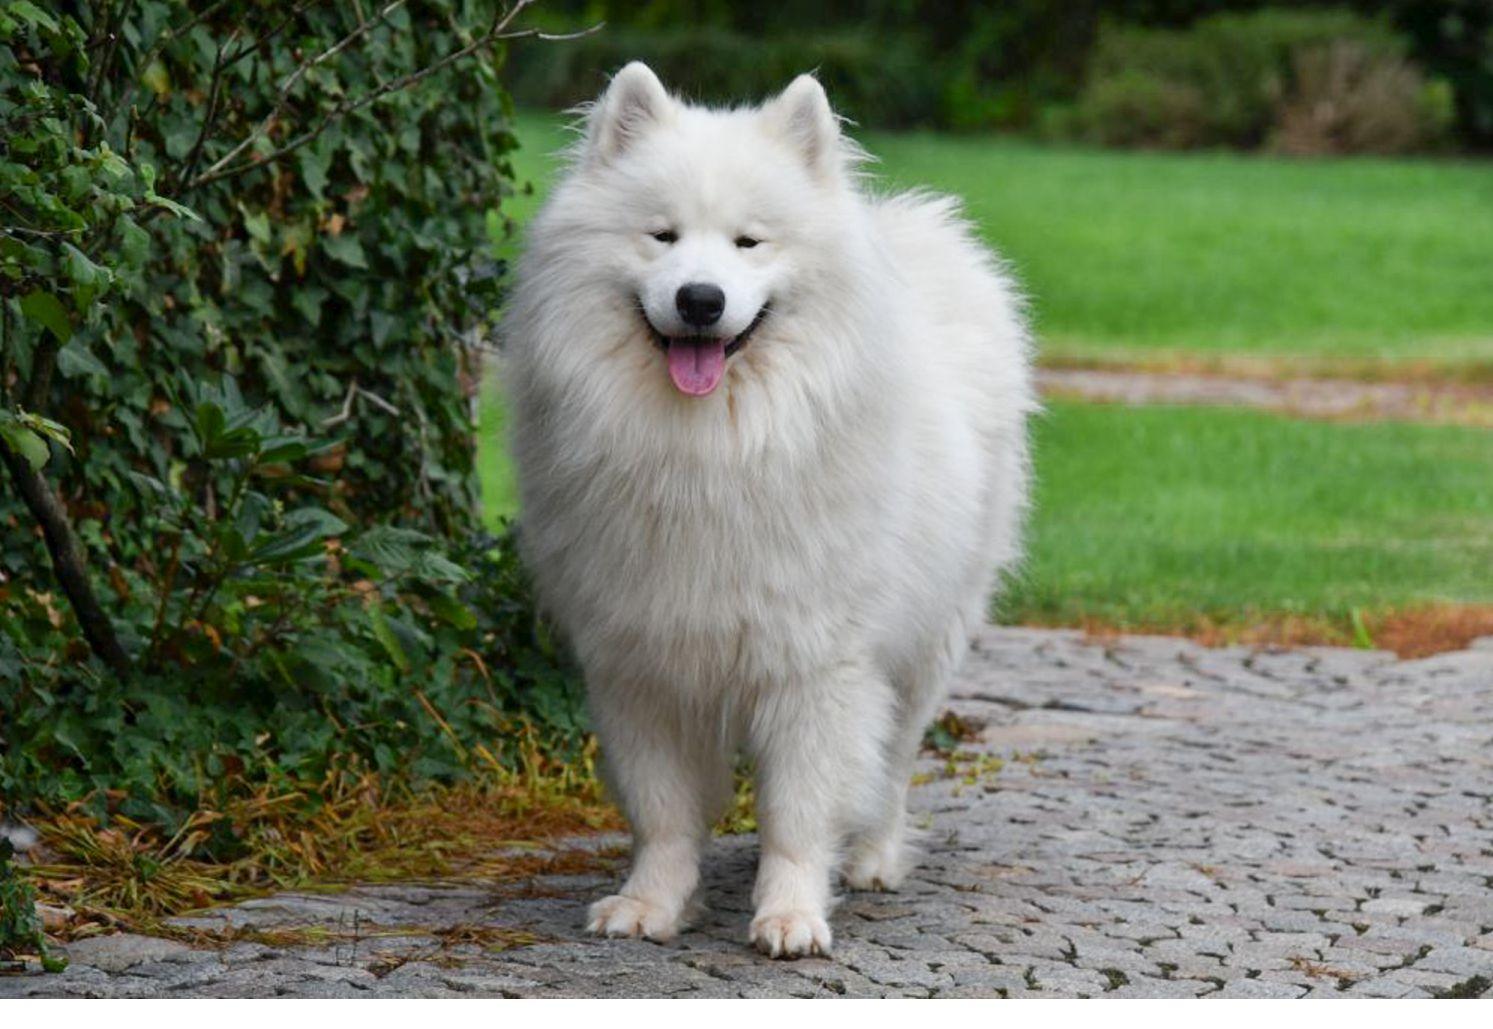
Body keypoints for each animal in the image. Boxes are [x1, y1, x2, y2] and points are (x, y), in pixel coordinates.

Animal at [507, 64, 1033, 961]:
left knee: (893, 760)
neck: (708, 451)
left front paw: (790, 913)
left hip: (929, 639)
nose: (700, 298)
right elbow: (663, 810)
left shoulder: (815, 663)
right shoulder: (638, 663)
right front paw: (651, 903)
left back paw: (873, 857)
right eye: (661, 236)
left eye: (749, 242)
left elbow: (797, 809)